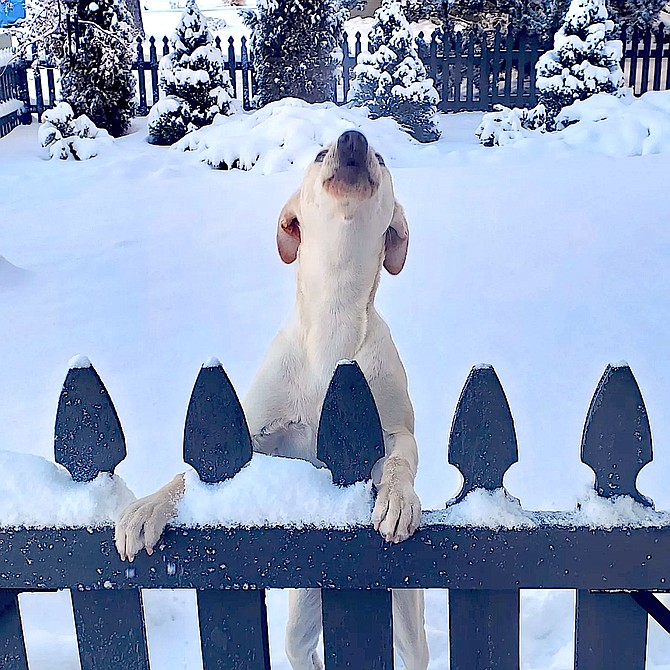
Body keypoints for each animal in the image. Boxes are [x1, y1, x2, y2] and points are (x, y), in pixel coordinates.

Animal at [115, 131, 430, 670]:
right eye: (321, 153)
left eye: (382, 157)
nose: (353, 138)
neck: (334, 318)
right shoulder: (256, 437)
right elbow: (191, 472)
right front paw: (148, 508)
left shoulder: (397, 431)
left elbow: (399, 460)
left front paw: (396, 498)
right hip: (300, 622)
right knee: (304, 651)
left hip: (409, 623)